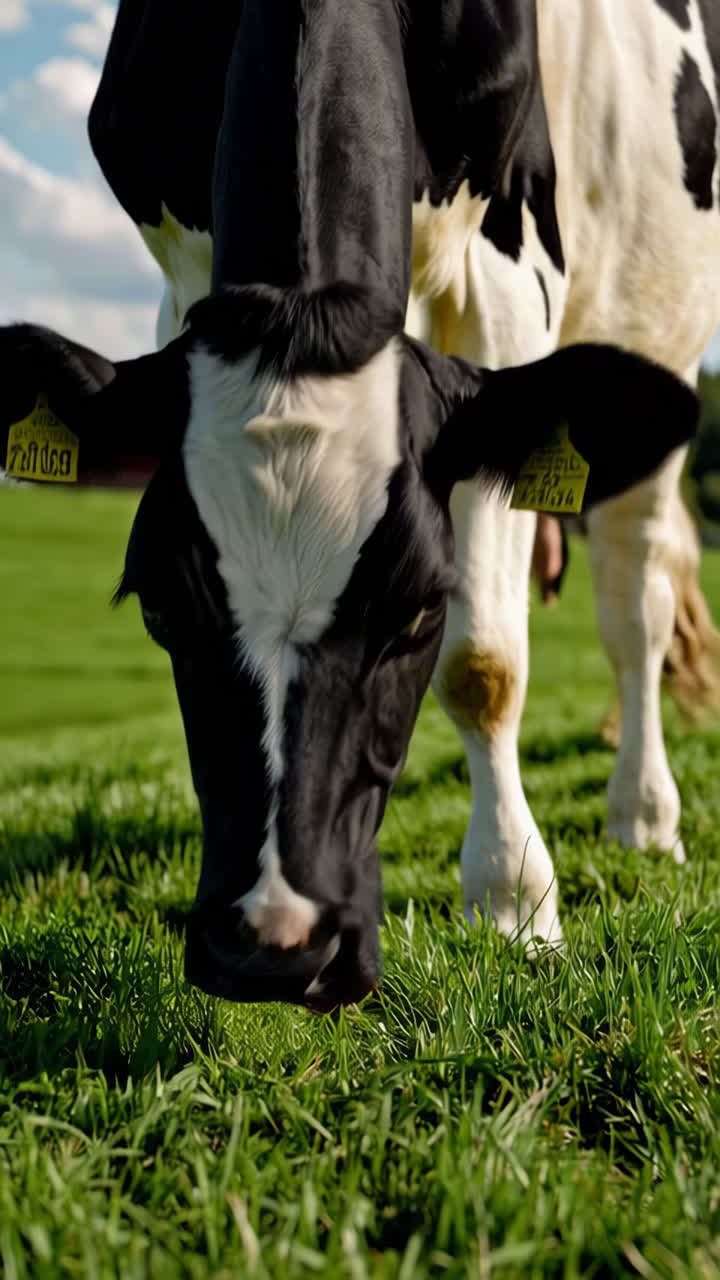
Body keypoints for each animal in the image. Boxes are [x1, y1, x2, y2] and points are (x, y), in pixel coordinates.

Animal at [0, 0, 715, 1008]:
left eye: (419, 609)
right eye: (158, 607)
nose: (274, 941)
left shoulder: (509, 279)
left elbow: (486, 664)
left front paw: (513, 900)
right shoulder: (185, 269)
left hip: (660, 330)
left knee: (637, 599)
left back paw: (643, 814)